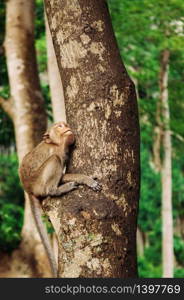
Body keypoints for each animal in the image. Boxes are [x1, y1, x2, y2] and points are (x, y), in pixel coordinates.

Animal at [19, 121, 100, 276]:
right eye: (59, 126)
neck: (57, 144)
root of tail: (28, 189)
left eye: (65, 124)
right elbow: (60, 171)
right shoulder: (57, 152)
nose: (66, 126)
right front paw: (87, 179)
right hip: (39, 182)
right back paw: (57, 189)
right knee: (53, 162)